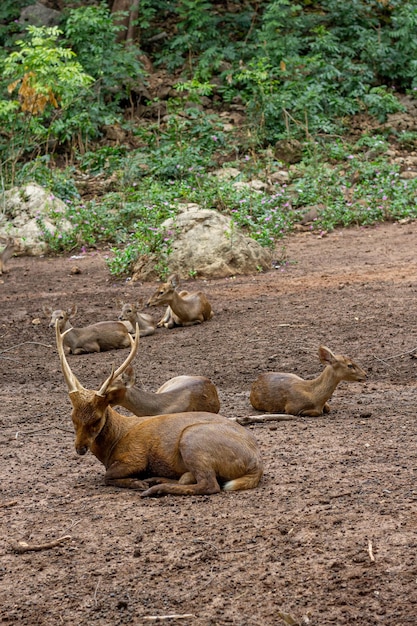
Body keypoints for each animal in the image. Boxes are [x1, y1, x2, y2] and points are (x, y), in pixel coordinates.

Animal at [56, 320, 264, 494]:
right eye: (72, 417)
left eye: (97, 418)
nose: (80, 448)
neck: (111, 445)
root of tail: (256, 464)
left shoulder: (135, 457)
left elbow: (107, 476)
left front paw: (137, 483)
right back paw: (157, 480)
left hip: (193, 440)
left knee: (210, 484)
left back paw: (154, 489)